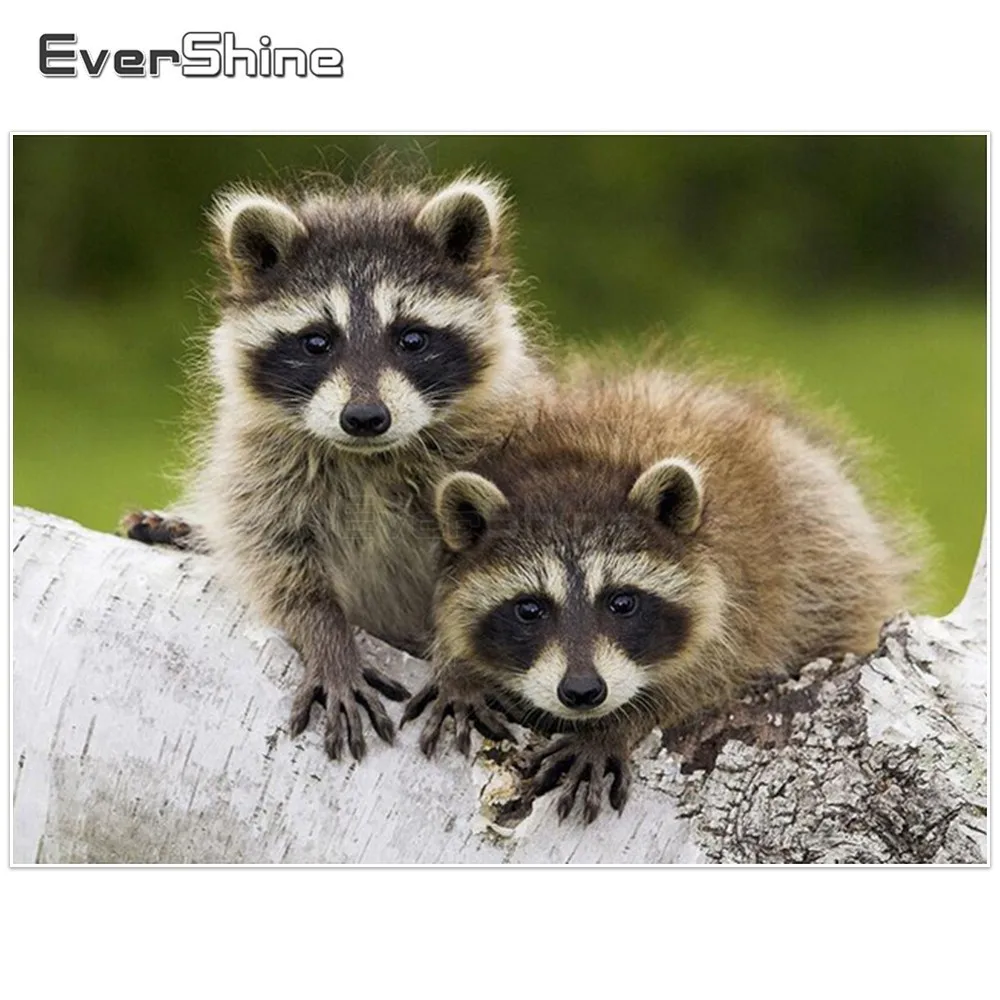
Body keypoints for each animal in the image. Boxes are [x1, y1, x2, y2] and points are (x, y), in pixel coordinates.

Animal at [124, 173, 549, 760]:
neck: (369, 457)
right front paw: (326, 637)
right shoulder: (260, 463)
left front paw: (461, 667)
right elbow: (276, 560)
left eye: (411, 338)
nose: (365, 417)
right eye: (316, 342)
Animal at [405, 367, 917, 821]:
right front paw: (459, 669)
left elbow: (708, 675)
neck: (579, 462)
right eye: (529, 609)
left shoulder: (746, 595)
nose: (583, 692)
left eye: (622, 602)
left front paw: (617, 724)